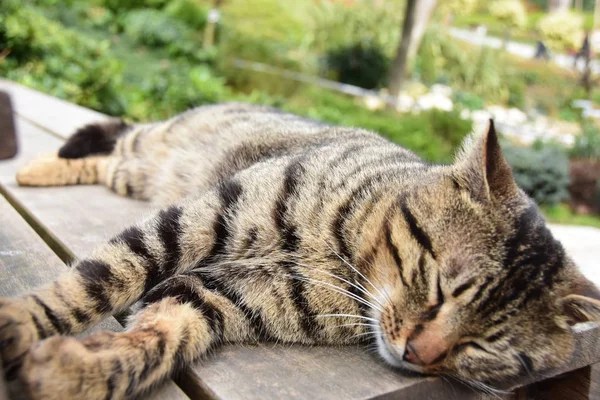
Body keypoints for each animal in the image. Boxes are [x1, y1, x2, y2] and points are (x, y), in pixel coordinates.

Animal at [1, 103, 600, 400]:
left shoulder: (222, 298)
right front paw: (19, 325)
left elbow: (160, 337)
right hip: (153, 152)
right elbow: (96, 282)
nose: (419, 354)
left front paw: (76, 373)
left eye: (486, 346)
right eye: (439, 287)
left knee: (106, 164)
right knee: (117, 141)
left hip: (137, 176)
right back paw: (38, 167)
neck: (345, 258)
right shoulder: (194, 221)